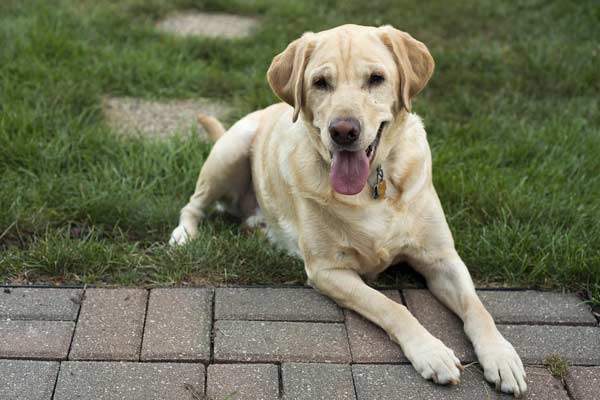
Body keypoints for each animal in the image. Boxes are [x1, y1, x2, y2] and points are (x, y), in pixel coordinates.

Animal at [171, 25, 528, 396]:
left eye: (376, 78)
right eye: (320, 82)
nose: (343, 130)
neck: (373, 187)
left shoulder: (442, 258)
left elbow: (478, 308)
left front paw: (501, 356)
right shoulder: (328, 270)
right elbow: (392, 307)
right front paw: (432, 352)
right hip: (230, 151)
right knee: (193, 204)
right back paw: (184, 236)